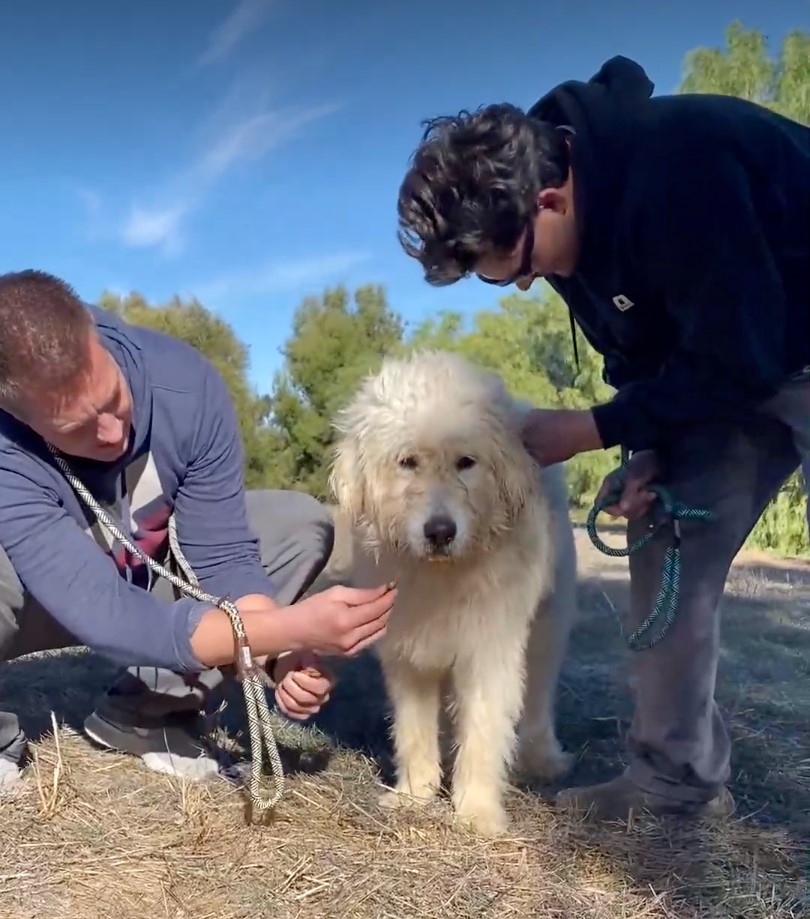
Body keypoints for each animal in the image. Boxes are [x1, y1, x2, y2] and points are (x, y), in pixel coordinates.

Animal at [326, 348, 576, 836]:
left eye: (466, 461)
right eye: (407, 461)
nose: (440, 532)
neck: (441, 576)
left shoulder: (487, 653)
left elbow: (482, 730)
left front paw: (476, 809)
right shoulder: (408, 654)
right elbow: (413, 730)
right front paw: (414, 793)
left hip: (547, 627)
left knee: (538, 697)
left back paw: (542, 758)